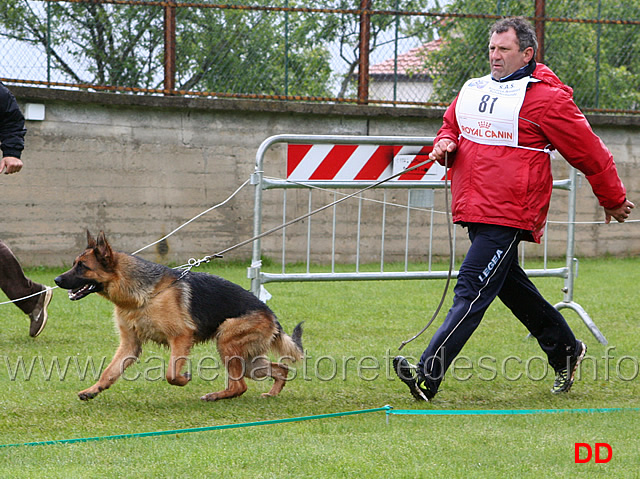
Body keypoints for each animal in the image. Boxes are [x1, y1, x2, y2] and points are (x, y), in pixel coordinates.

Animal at [55, 231, 304, 404]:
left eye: (82, 266)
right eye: (74, 264)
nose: (56, 280)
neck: (143, 295)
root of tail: (271, 316)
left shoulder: (181, 337)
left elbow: (171, 373)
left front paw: (184, 378)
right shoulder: (129, 345)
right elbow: (109, 372)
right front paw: (93, 390)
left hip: (227, 343)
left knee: (240, 386)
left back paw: (214, 396)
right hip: (249, 360)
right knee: (281, 370)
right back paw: (271, 394)